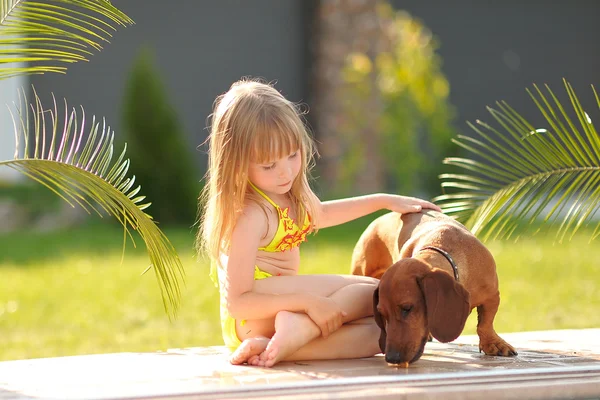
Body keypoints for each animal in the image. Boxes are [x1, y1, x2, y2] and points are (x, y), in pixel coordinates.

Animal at [352, 209, 516, 366]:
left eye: (407, 308)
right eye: (381, 314)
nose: (392, 358)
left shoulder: (492, 295)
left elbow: (485, 323)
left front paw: (494, 343)